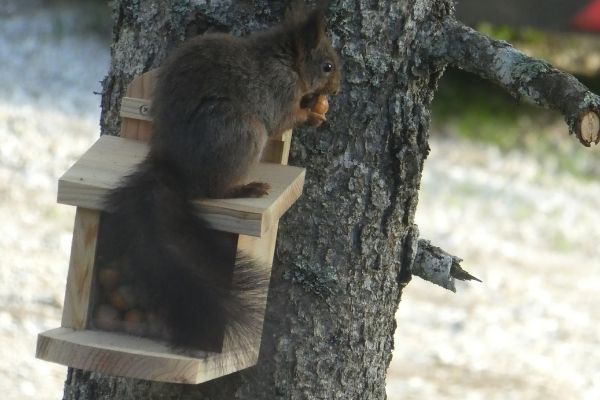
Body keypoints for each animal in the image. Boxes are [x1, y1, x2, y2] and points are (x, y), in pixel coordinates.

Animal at [93, 8, 338, 354]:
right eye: (327, 66)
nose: (337, 89)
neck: (285, 60)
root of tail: (172, 167)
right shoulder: (279, 92)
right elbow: (284, 119)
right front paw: (312, 115)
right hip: (241, 132)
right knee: (213, 189)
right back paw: (246, 188)